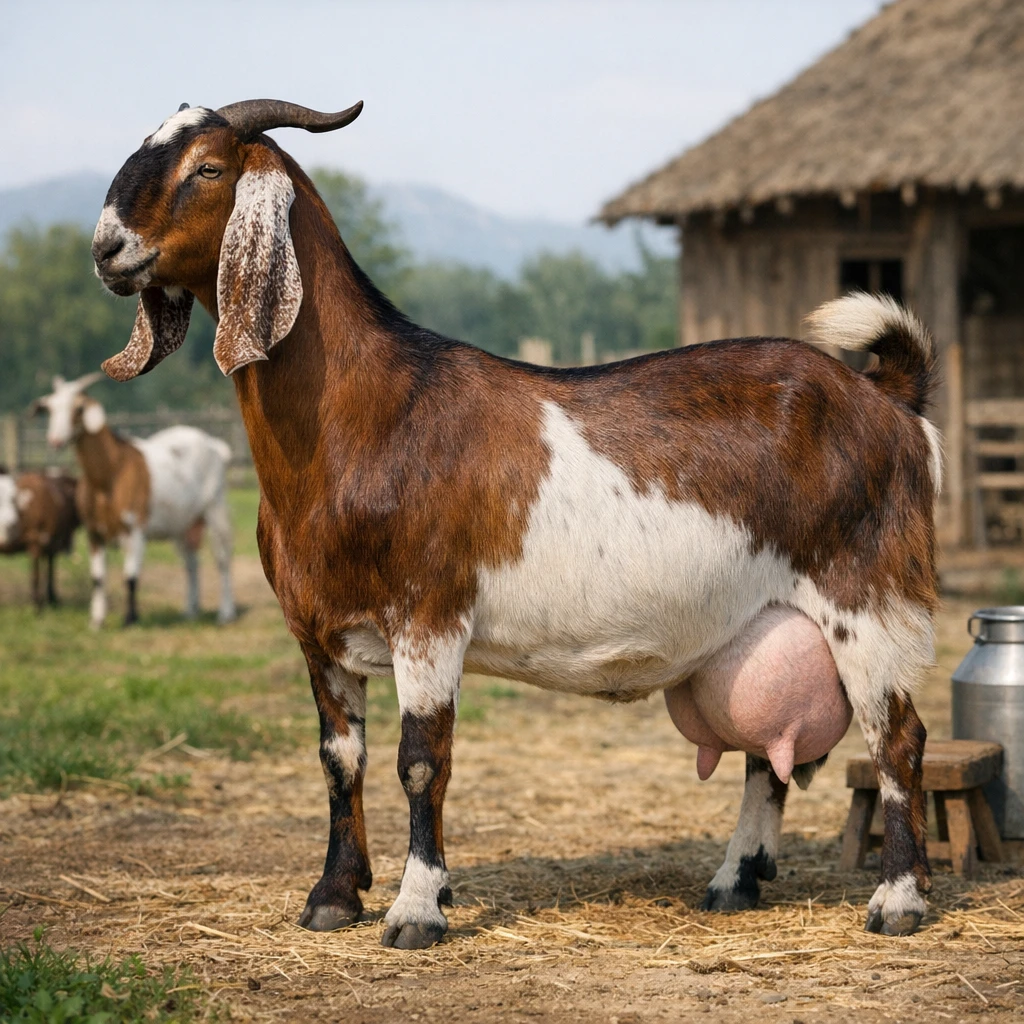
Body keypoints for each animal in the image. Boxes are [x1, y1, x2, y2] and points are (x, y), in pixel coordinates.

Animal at [0, 467, 80, 609]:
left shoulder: (50, 544)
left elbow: (49, 570)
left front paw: (51, 598)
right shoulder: (36, 541)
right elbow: (36, 575)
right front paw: (37, 603)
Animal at [33, 375, 236, 627]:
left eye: (79, 408)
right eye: (50, 408)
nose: (55, 440)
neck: (110, 474)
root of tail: (215, 445)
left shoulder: (135, 528)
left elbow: (130, 577)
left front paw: (130, 618)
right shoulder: (94, 532)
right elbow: (97, 578)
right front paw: (97, 620)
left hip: (215, 505)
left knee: (222, 558)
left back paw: (226, 613)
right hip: (182, 523)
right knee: (191, 562)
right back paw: (190, 611)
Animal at [92, 99, 940, 946]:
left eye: (207, 167)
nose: (106, 247)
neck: (369, 417)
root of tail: (884, 396)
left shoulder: (428, 617)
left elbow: (420, 761)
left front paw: (415, 909)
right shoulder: (316, 630)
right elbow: (340, 761)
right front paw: (334, 896)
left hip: (871, 597)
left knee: (897, 738)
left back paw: (898, 900)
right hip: (767, 622)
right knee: (769, 756)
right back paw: (737, 880)